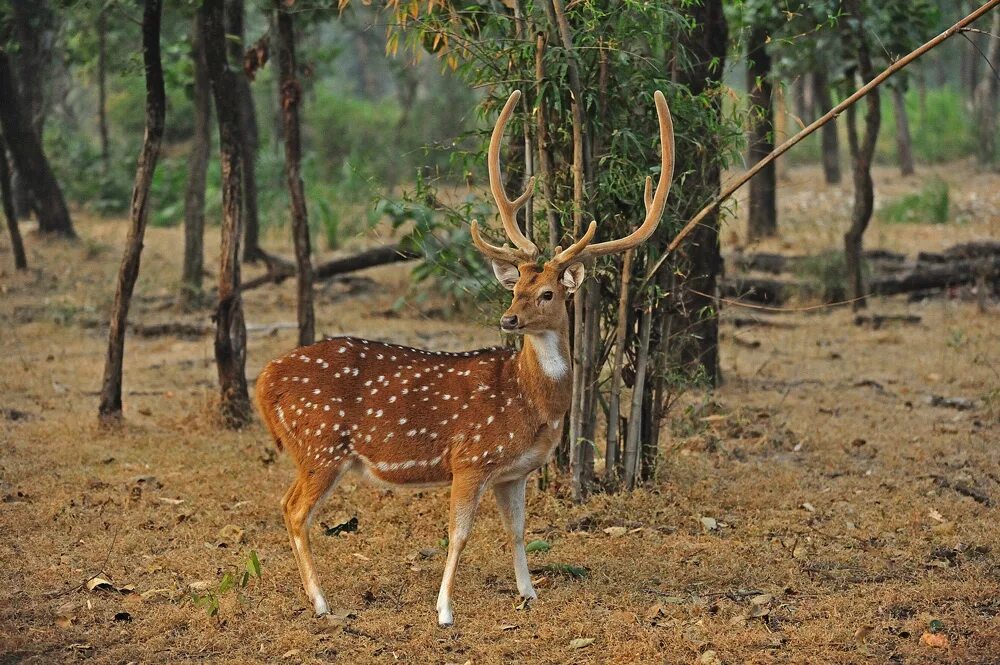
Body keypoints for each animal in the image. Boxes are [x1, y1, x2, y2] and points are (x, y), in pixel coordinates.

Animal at [254, 87, 676, 624]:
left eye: (547, 294)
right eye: (516, 287)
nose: (509, 319)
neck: (531, 403)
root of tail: (264, 380)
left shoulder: (513, 472)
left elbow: (517, 531)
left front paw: (528, 593)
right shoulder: (470, 457)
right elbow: (458, 535)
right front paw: (444, 611)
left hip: (315, 450)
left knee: (287, 506)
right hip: (320, 445)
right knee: (292, 509)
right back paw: (323, 603)